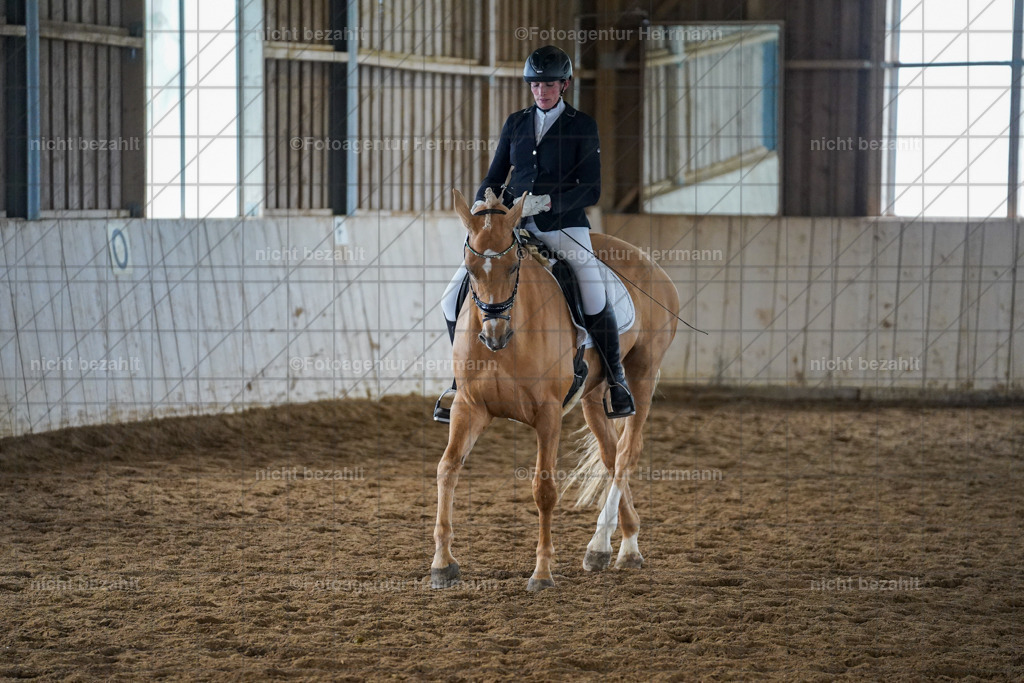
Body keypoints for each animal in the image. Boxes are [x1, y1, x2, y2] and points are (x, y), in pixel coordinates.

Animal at [431, 187, 680, 591]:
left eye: (513, 266)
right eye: (469, 269)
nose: (493, 336)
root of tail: (650, 263)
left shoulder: (547, 414)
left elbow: (544, 489)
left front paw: (542, 573)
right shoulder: (470, 407)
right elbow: (447, 468)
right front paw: (442, 564)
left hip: (643, 373)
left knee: (628, 452)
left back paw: (604, 544)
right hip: (593, 396)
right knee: (611, 455)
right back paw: (620, 545)